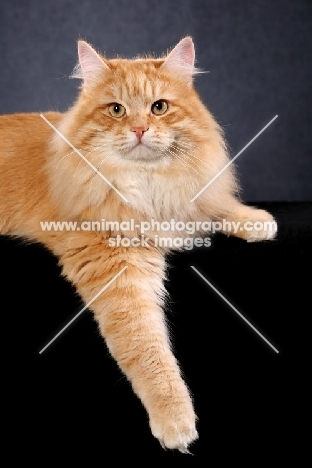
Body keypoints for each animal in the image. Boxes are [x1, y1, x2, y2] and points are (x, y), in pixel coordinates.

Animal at [0, 36, 276, 454]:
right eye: (117, 110)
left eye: (158, 107)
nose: (140, 129)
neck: (147, 186)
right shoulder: (117, 268)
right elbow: (147, 349)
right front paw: (174, 418)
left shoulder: (187, 201)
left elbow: (215, 205)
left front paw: (256, 221)